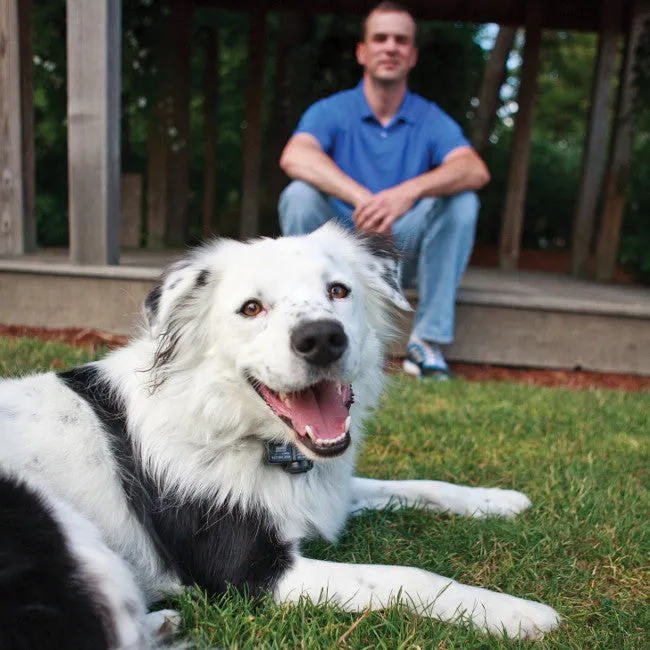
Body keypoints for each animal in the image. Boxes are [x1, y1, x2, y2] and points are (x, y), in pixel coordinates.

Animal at [0, 223, 556, 644]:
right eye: (251, 308)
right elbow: (404, 576)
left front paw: (496, 500)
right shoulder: (248, 572)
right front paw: (513, 612)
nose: (323, 338)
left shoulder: (325, 489)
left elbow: (418, 485)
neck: (234, 427)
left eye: (338, 291)